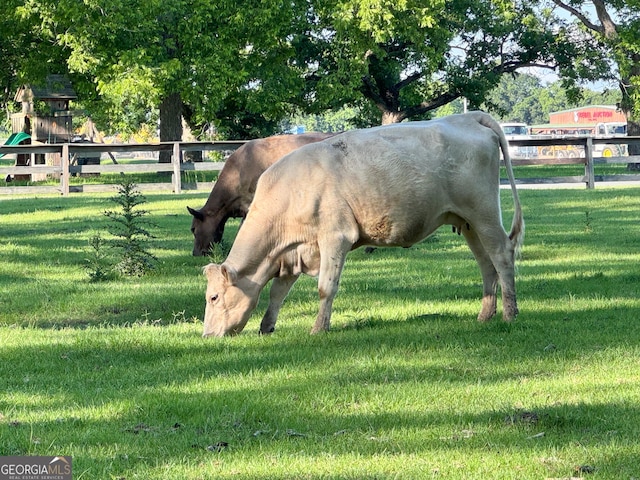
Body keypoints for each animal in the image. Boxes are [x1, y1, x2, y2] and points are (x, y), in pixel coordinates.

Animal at [201, 112, 524, 338]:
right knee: (486, 264)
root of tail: (467, 117)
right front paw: (266, 326)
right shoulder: (292, 253)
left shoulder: (335, 236)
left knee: (502, 256)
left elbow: (325, 287)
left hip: (483, 213)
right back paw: (485, 315)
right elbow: (277, 292)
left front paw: (319, 328)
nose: (206, 335)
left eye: (214, 296)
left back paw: (510, 314)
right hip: (467, 222)